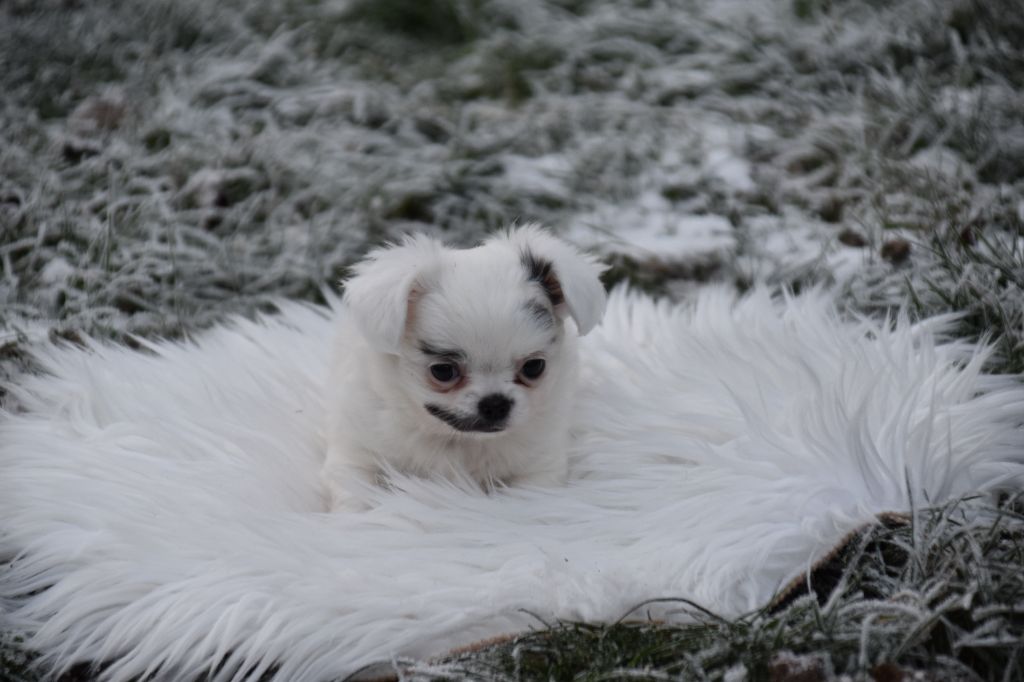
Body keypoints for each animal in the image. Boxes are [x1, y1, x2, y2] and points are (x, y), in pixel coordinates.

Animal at [323, 223, 602, 503]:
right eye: (443, 371)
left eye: (534, 367)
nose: (495, 403)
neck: (460, 440)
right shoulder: (358, 456)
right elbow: (359, 495)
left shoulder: (537, 467)